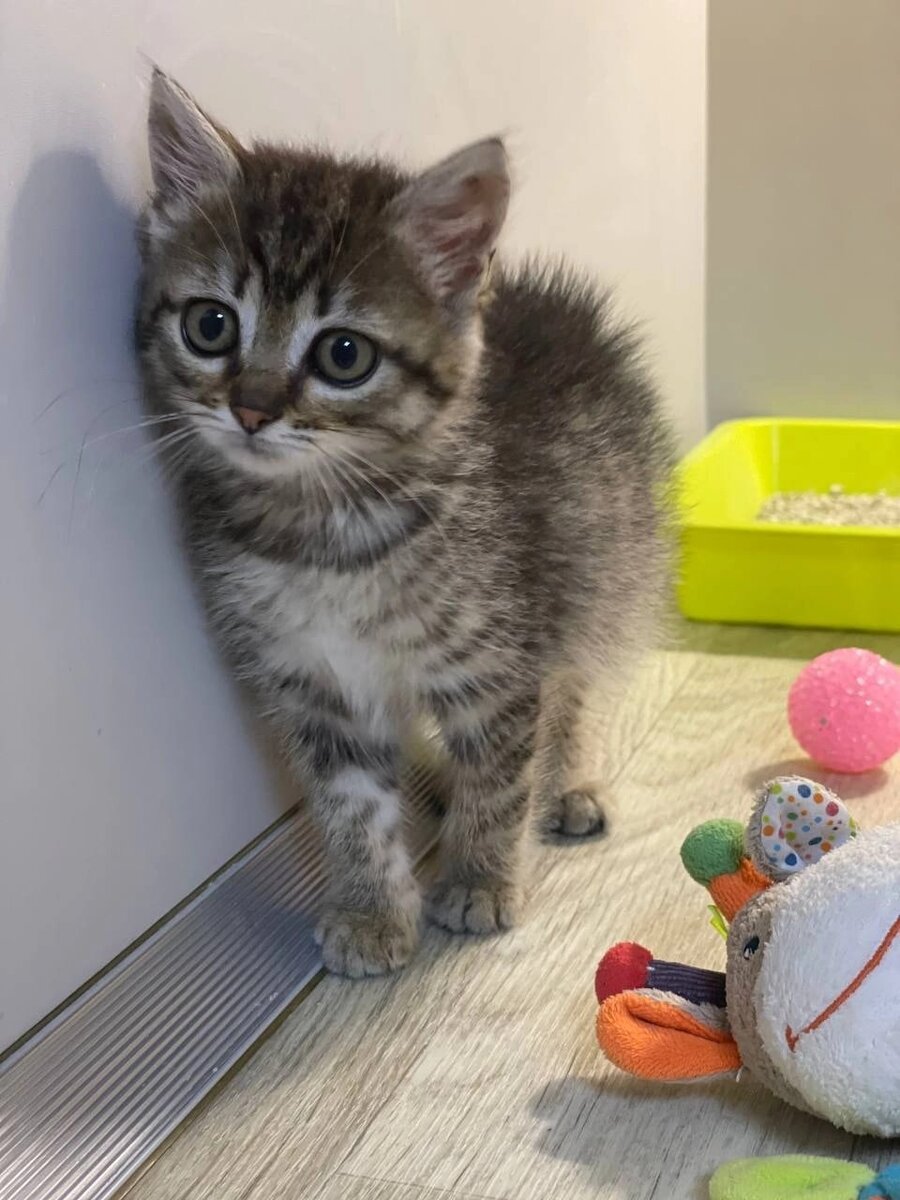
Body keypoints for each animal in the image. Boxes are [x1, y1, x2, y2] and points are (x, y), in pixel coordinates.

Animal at [136, 70, 675, 977]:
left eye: (343, 354)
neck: (319, 534)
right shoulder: (312, 687)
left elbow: (500, 771)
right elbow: (351, 803)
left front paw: (481, 878)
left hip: (603, 563)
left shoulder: (497, 661)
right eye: (210, 325)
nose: (251, 410)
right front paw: (370, 908)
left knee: (572, 685)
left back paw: (567, 782)